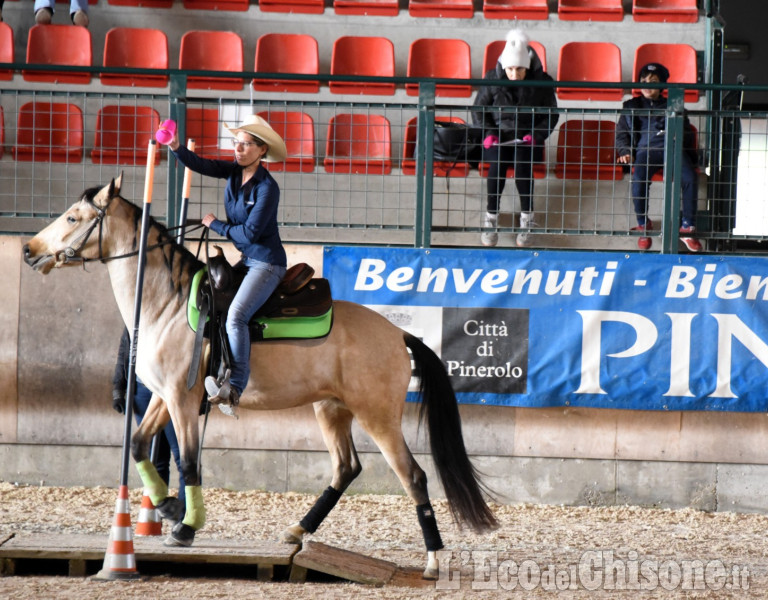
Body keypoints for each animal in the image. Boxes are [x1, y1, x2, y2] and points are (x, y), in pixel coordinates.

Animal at [22, 176, 498, 580]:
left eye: (72, 217)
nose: (28, 249)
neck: (168, 304)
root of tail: (399, 333)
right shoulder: (162, 396)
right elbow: (140, 446)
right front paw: (171, 507)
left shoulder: (180, 400)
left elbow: (189, 462)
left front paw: (186, 526)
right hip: (331, 409)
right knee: (346, 467)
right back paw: (296, 531)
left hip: (377, 416)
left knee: (412, 476)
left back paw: (433, 561)